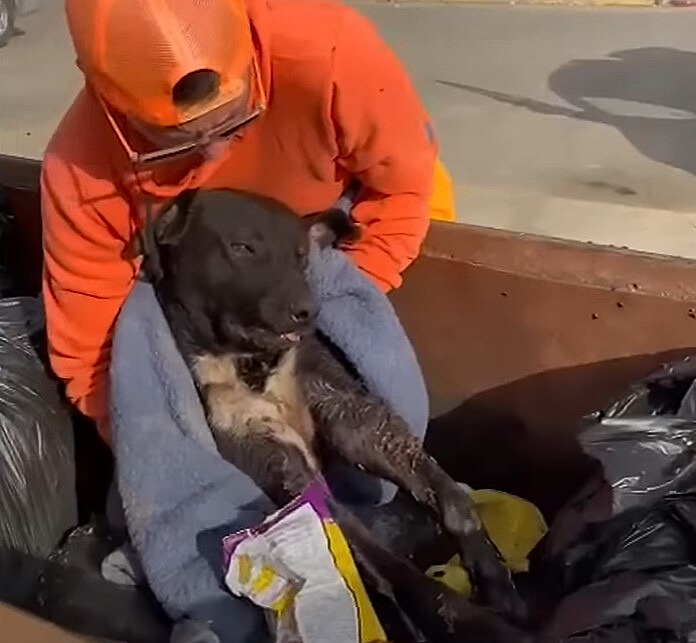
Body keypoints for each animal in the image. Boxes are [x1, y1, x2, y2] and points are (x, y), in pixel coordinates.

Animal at [129, 189, 528, 640]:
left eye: (302, 256)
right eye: (242, 247)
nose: (308, 310)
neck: (254, 366)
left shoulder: (352, 414)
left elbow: (451, 500)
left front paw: (493, 581)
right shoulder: (279, 463)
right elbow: (393, 568)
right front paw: (460, 615)